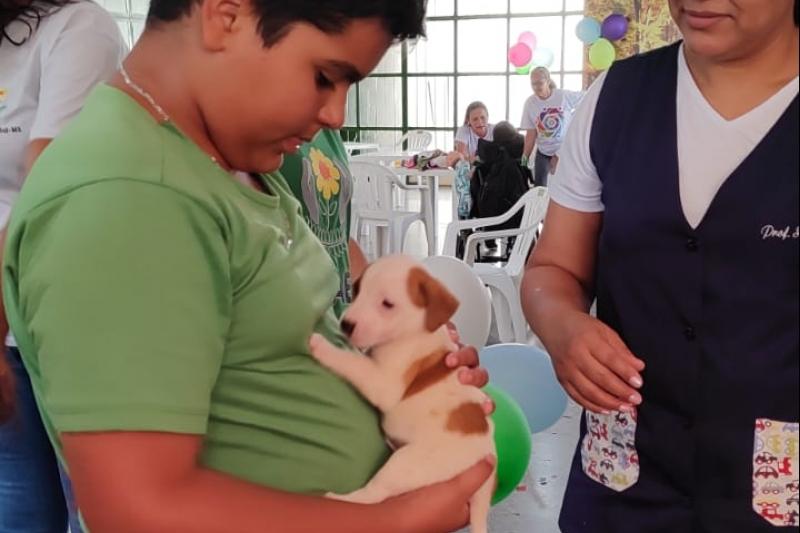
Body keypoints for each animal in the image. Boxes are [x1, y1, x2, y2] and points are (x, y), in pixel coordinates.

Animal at [310, 254, 496, 532]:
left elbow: (353, 363)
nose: (346, 324)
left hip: (403, 465)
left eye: (387, 304)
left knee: (373, 496)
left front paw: (322, 346)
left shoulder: (384, 384)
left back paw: (339, 499)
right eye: (358, 290)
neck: (412, 333)